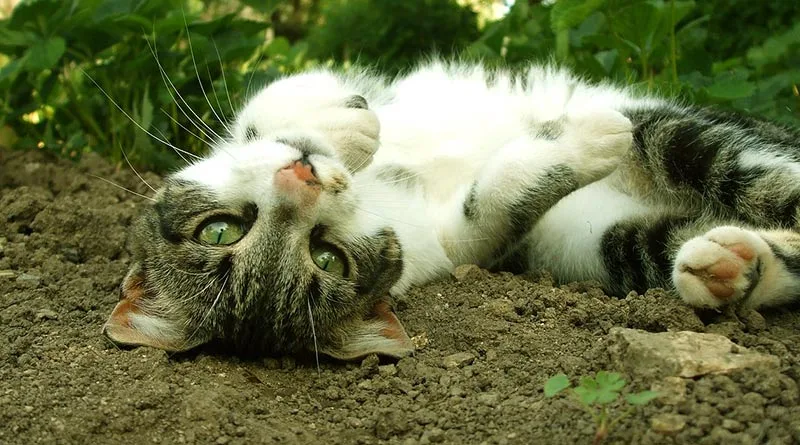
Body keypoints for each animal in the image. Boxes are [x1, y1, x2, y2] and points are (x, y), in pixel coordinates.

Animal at [103, 60, 800, 360]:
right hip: (601, 240)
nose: (302, 177)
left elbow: (269, 104)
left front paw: (346, 126)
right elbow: (493, 206)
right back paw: (730, 263)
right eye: (327, 258)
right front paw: (583, 142)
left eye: (220, 229)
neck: (377, 190)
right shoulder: (453, 245)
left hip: (684, 138)